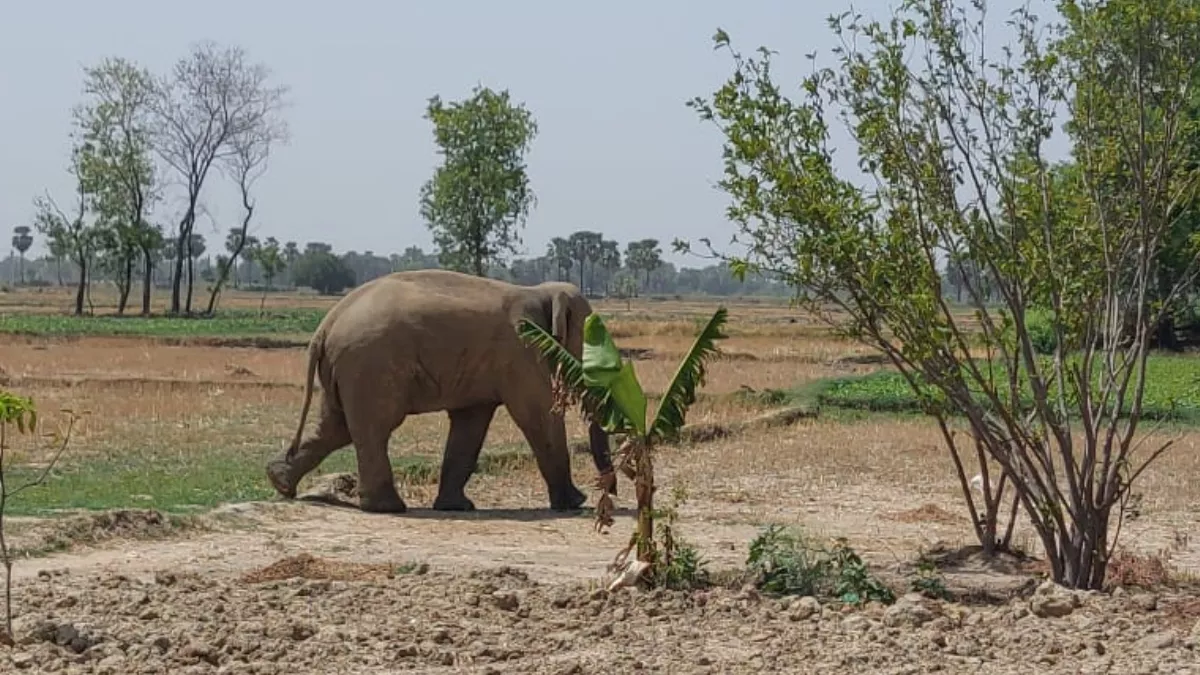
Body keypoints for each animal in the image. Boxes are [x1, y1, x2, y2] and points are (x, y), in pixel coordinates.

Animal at [267, 266, 614, 509]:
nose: (608, 491)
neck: (540, 291)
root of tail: (326, 324)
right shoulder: (522, 351)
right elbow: (538, 414)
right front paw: (575, 503)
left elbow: (470, 424)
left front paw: (457, 506)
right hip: (370, 367)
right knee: (373, 427)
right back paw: (387, 508)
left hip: (347, 370)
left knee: (335, 426)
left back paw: (280, 481)